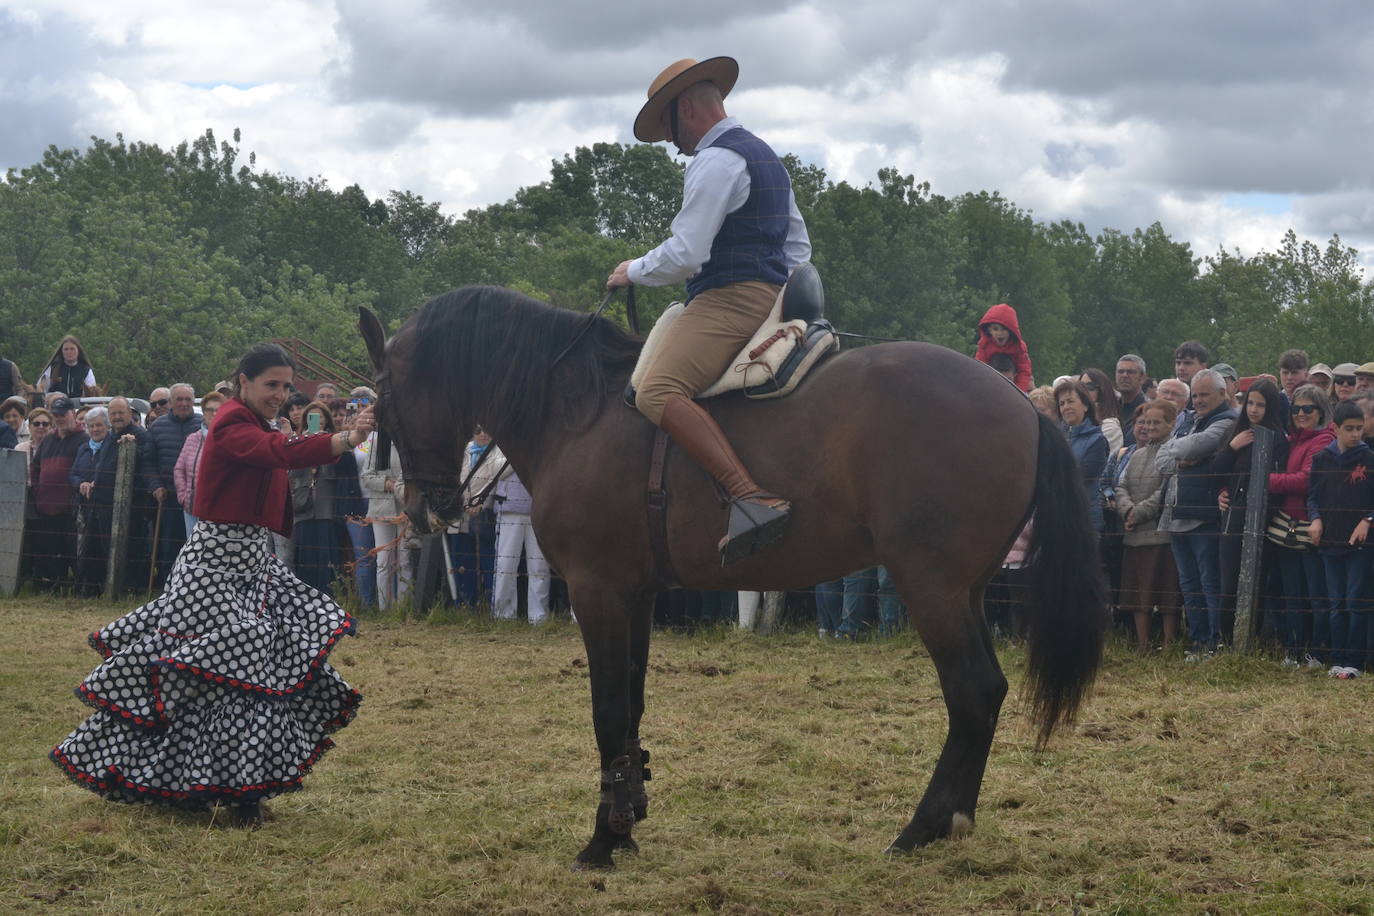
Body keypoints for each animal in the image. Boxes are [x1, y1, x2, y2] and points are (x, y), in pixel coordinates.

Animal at [357, 284, 1104, 867]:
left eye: (385, 400)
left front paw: (603, 839)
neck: (579, 411)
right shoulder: (635, 596)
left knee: (972, 693)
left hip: (932, 588)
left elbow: (607, 712)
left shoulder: (599, 592)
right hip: (964, 590)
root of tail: (1020, 403)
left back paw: (922, 828)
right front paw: (628, 818)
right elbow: (631, 709)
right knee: (986, 693)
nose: (425, 508)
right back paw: (951, 822)